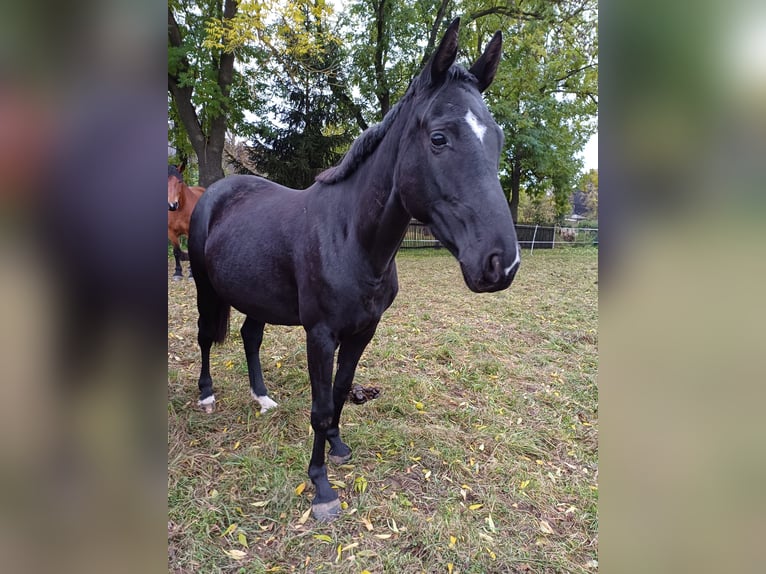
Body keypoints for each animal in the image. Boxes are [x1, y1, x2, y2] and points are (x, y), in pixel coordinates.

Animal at [188, 19, 520, 520]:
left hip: (256, 295)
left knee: (249, 337)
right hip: (206, 288)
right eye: (439, 138)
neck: (350, 238)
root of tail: (215, 192)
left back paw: (262, 397)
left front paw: (338, 447)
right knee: (207, 337)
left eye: (497, 139)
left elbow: (342, 390)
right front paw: (321, 486)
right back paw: (207, 395)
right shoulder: (321, 334)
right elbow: (322, 404)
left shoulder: (364, 330)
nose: (502, 263)